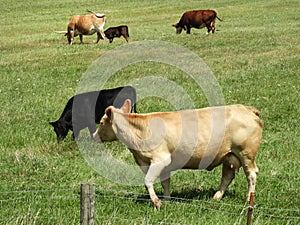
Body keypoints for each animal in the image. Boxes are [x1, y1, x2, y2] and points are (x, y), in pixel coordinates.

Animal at [92, 100, 262, 209]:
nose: (93, 136)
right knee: (227, 176)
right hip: (229, 155)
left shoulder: (160, 159)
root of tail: (246, 109)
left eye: (101, 122)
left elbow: (148, 181)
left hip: (246, 153)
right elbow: (165, 182)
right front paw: (167, 200)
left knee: (251, 174)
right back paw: (216, 197)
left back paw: (249, 199)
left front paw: (157, 203)